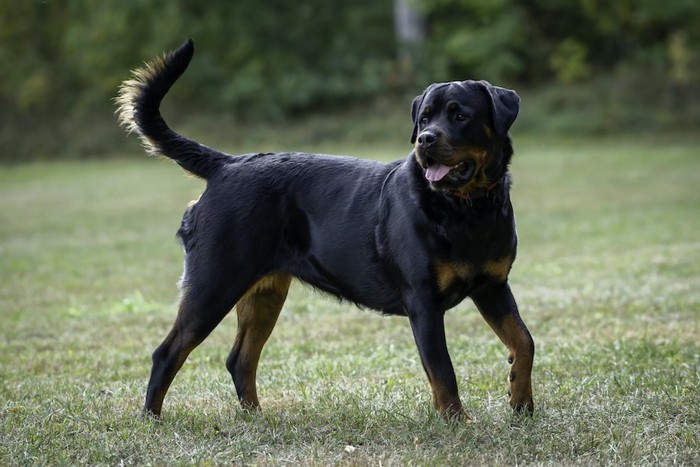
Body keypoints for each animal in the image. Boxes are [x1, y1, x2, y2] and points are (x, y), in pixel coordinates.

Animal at [116, 39, 536, 420]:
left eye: (459, 115)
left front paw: (522, 405)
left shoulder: (492, 286)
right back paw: (151, 420)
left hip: (264, 291)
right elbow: (444, 372)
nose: (425, 139)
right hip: (214, 282)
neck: (466, 209)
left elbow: (524, 341)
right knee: (168, 352)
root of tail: (227, 164)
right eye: (424, 118)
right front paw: (457, 423)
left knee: (241, 359)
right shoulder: (423, 302)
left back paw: (256, 417)